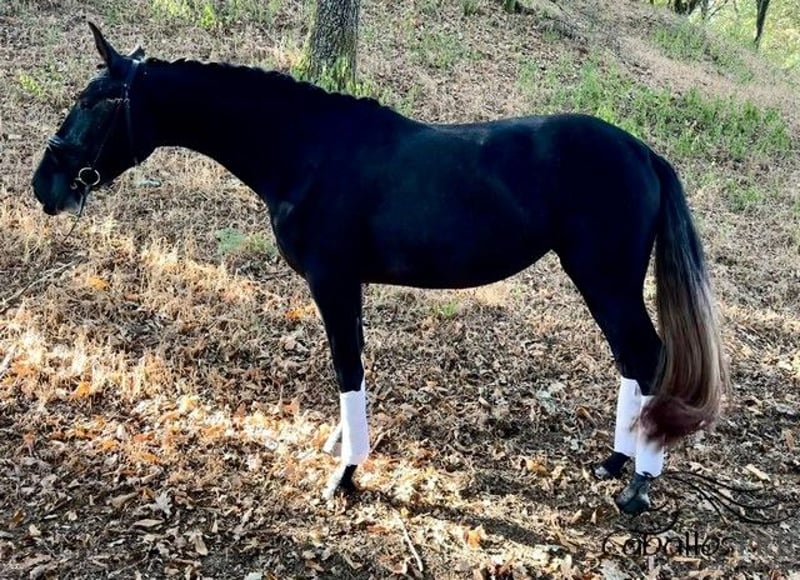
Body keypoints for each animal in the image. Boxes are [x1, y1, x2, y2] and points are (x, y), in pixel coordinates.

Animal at [31, 23, 728, 515]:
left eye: (95, 102)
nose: (46, 185)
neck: (307, 151)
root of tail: (645, 153)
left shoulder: (334, 282)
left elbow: (347, 368)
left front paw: (344, 474)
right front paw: (340, 448)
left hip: (605, 279)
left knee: (646, 357)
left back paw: (637, 486)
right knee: (632, 361)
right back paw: (614, 462)